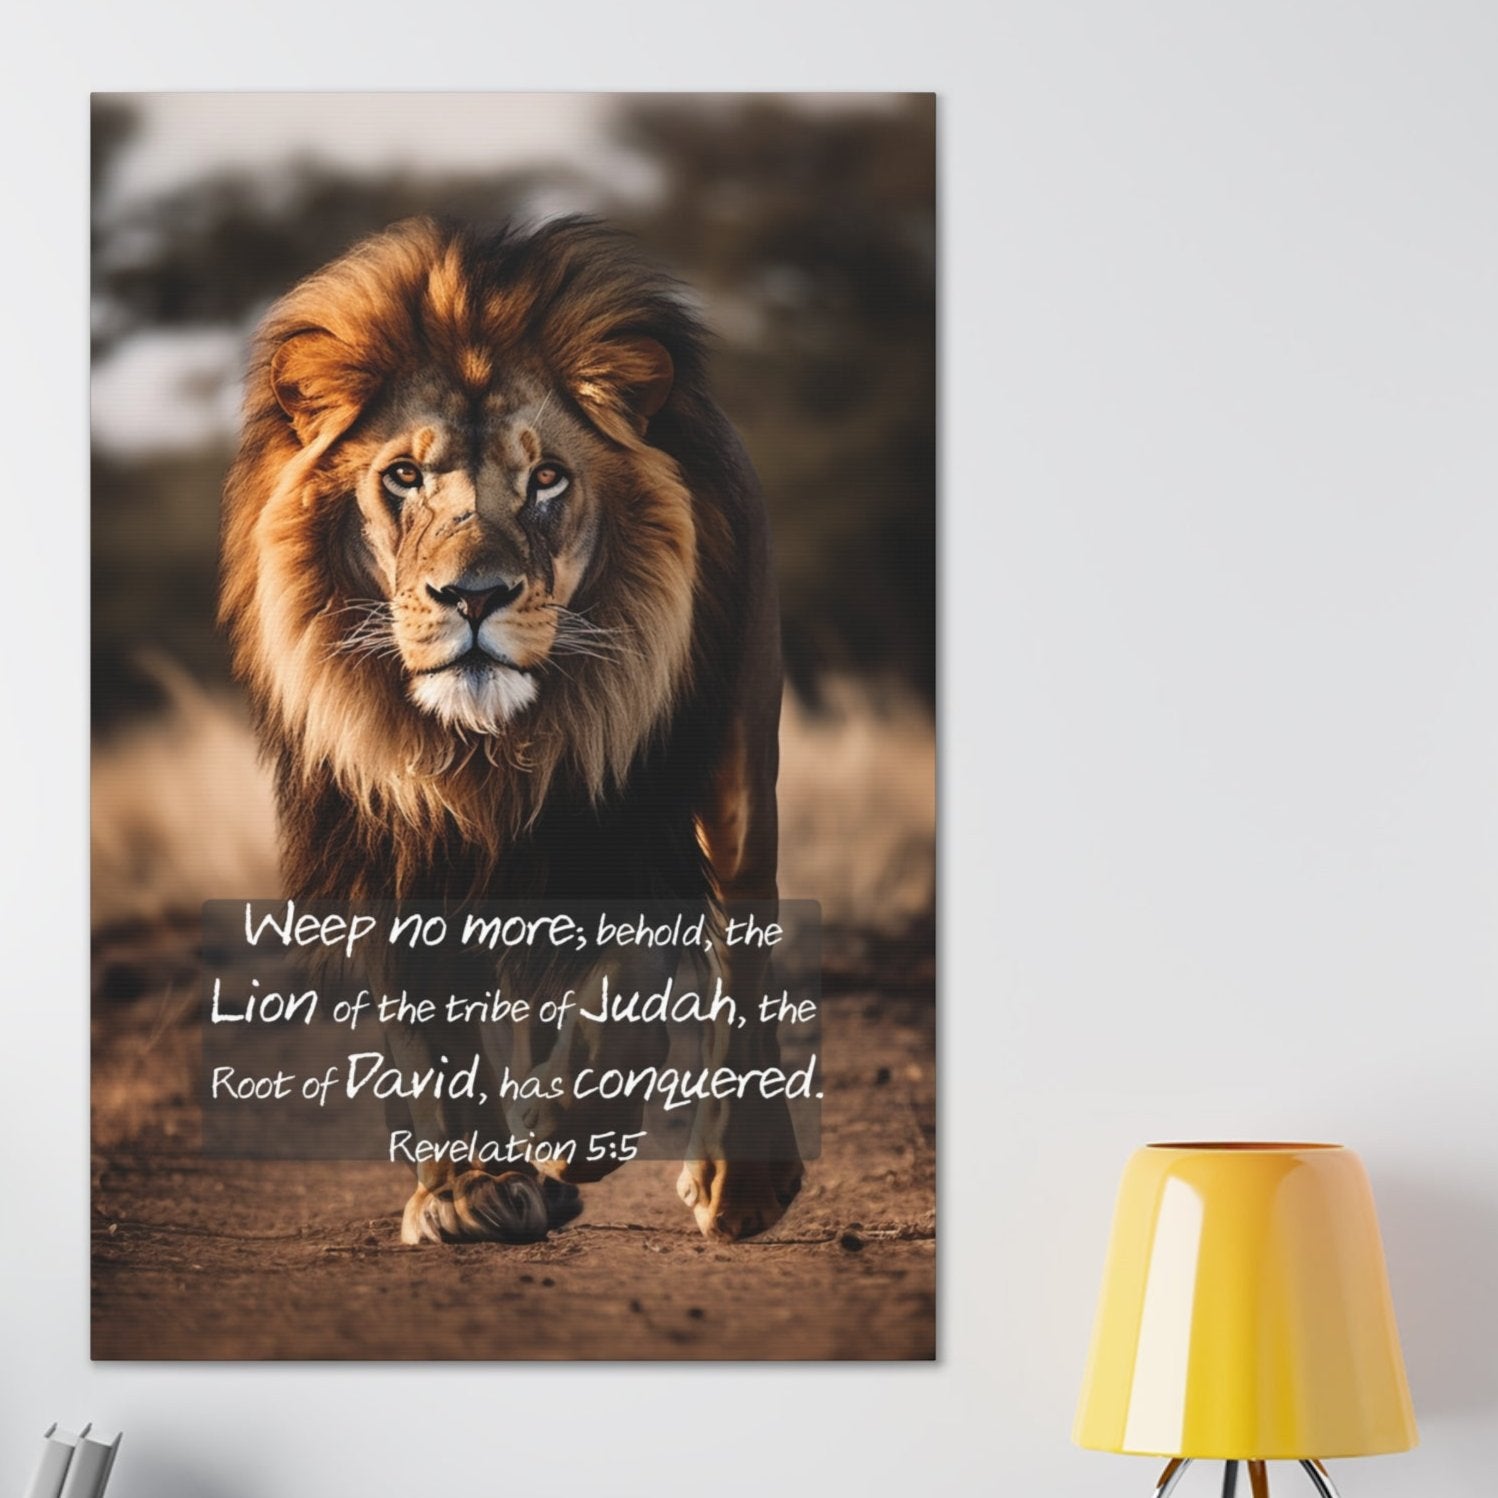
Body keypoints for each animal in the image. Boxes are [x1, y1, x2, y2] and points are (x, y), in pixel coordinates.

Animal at [219, 216, 803, 1243]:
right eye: (403, 476)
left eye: (548, 479)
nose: (475, 595)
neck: (494, 750)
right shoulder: (390, 825)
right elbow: (430, 1025)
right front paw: (471, 1190)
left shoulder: (634, 811)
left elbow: (635, 977)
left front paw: (575, 1127)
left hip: (734, 769)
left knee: (741, 932)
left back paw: (732, 1181)